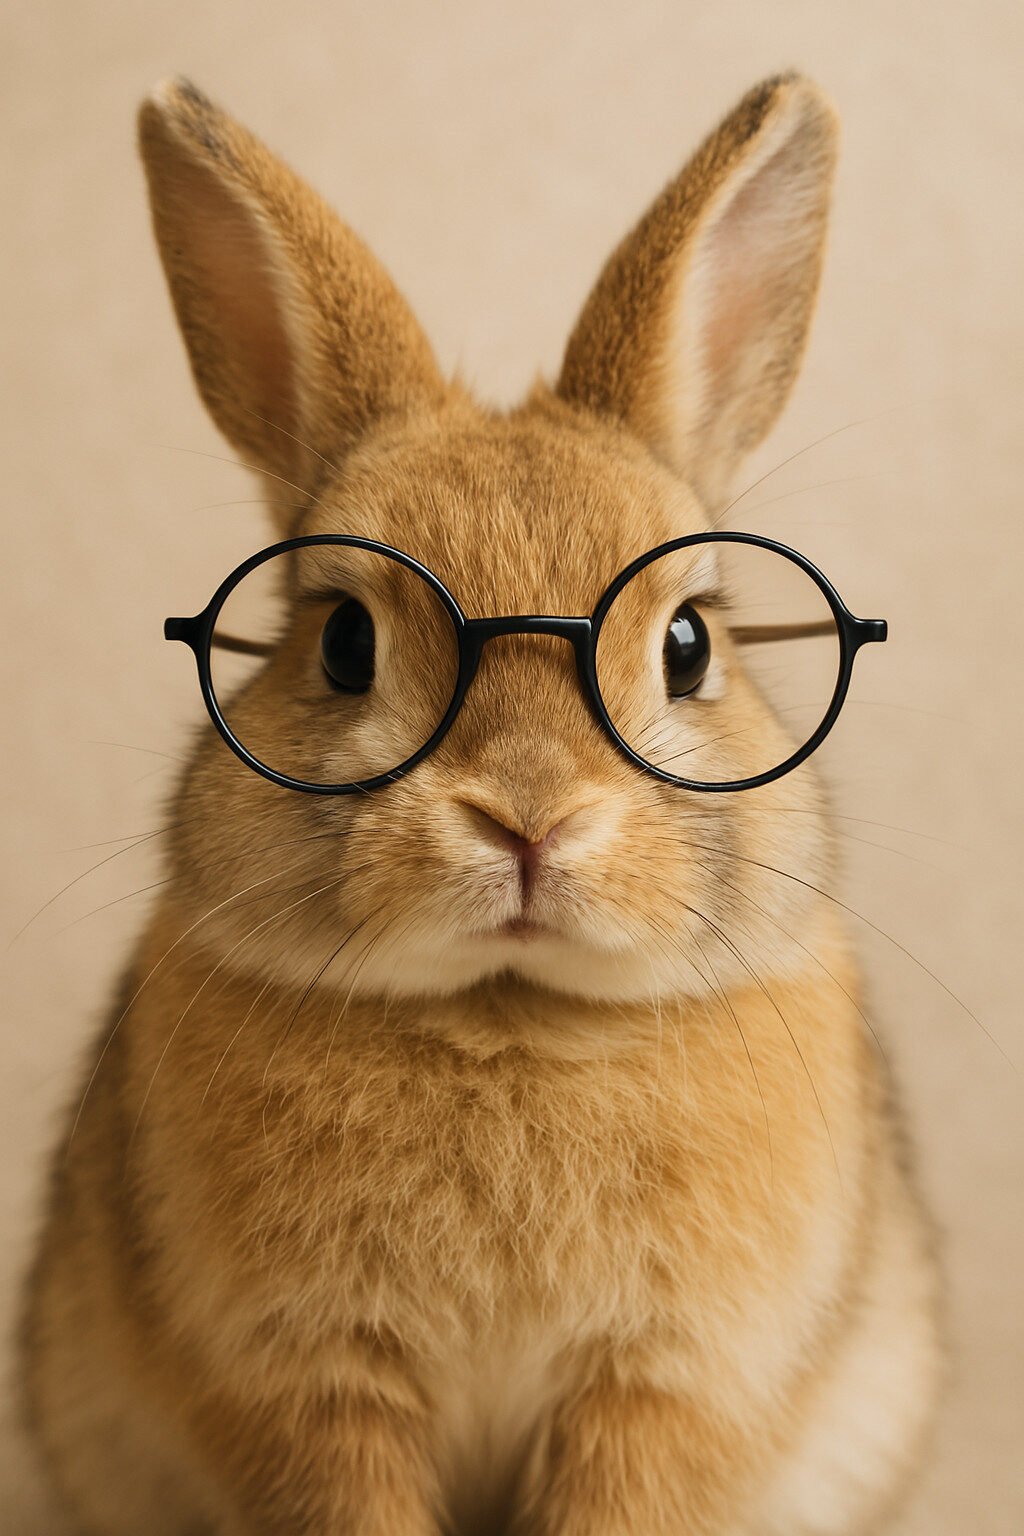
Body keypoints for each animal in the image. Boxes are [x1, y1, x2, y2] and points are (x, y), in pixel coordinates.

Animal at [21, 73, 941, 1536]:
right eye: (345, 643)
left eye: (689, 645)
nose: (528, 820)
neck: (509, 1012)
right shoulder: (315, 1391)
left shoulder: (662, 1390)